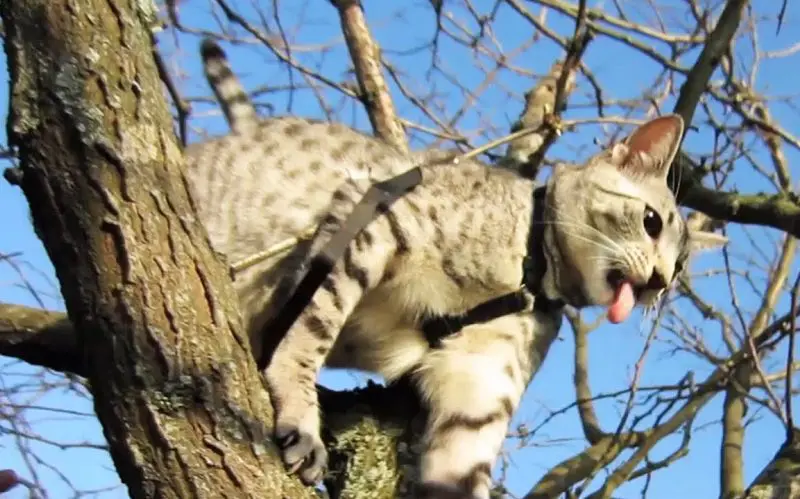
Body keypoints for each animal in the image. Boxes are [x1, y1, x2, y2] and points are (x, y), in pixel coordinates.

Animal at [186, 40, 724, 499]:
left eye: (679, 269)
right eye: (651, 222)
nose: (658, 281)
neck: (530, 275)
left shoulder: (480, 395)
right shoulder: (375, 221)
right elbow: (311, 330)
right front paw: (299, 416)